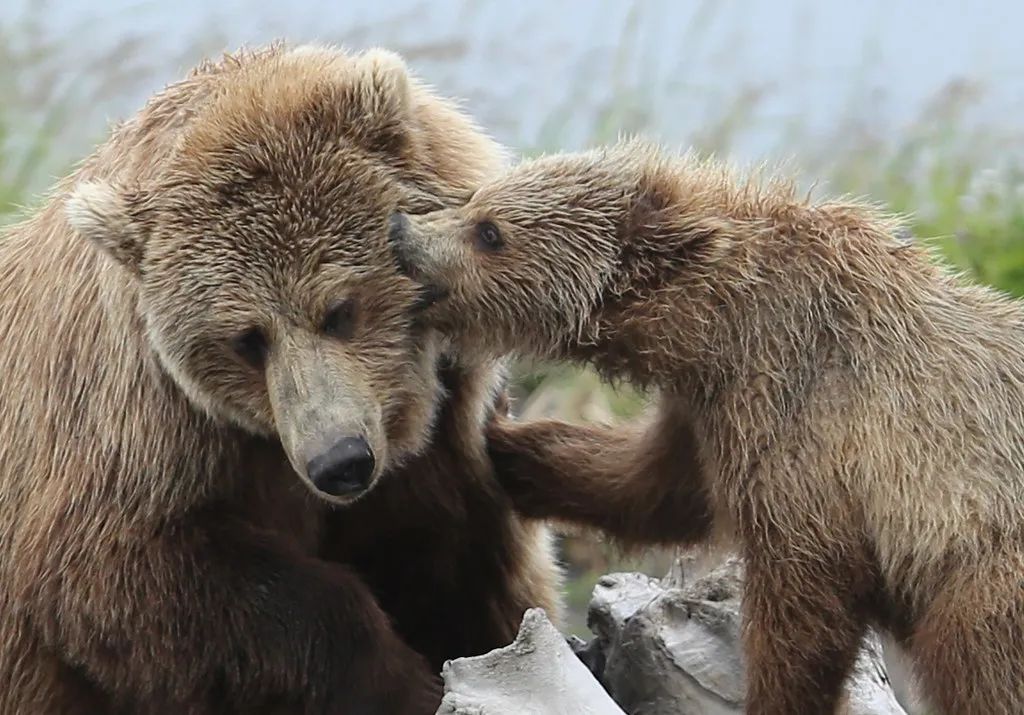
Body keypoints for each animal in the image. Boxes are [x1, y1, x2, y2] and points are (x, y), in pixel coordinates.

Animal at [0, 45, 561, 712]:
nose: (339, 461)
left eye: (340, 308)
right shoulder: (129, 426)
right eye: (247, 339)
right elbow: (119, 574)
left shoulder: (444, 440)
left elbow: (468, 571)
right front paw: (401, 678)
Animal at [387, 139, 1024, 712]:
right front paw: (504, 442)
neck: (721, 322)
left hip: (985, 584)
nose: (402, 231)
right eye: (475, 200)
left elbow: (803, 592)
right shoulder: (709, 406)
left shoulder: (806, 415)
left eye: (491, 232)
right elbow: (657, 487)